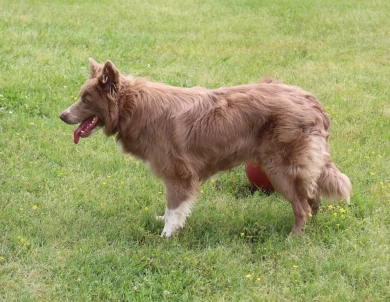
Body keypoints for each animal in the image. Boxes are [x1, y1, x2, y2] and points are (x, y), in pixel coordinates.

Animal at [59, 59, 352, 237]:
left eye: (86, 99)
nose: (62, 115)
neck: (133, 106)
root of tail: (312, 102)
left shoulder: (178, 174)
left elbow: (174, 207)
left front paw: (165, 237)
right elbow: (170, 209)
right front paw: (164, 223)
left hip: (279, 168)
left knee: (302, 205)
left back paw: (293, 238)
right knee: (312, 197)